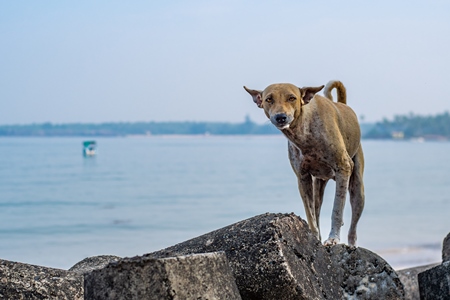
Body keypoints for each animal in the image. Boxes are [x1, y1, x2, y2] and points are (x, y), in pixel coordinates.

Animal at [244, 80, 364, 246]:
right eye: (269, 99)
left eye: (292, 98)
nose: (280, 117)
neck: (303, 132)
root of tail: (342, 104)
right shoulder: (303, 177)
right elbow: (310, 214)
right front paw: (314, 237)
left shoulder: (343, 167)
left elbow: (337, 209)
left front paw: (333, 238)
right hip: (318, 186)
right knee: (317, 208)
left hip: (357, 188)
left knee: (353, 225)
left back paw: (352, 245)